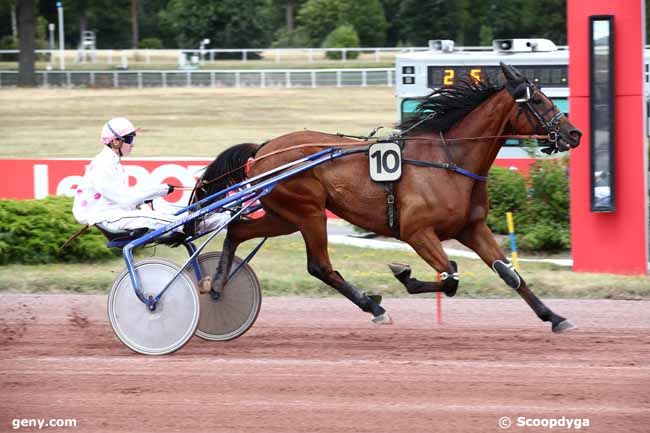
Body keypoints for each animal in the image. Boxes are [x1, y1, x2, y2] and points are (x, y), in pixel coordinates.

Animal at [195, 64, 580, 332]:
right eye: (540, 101)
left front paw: (554, 317)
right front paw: (403, 273)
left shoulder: (472, 228)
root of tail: (263, 149)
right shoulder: (417, 232)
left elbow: (510, 275)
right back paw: (374, 307)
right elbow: (450, 275)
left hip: (285, 216)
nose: (574, 133)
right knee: (319, 266)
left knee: (237, 231)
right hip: (308, 212)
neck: (449, 160)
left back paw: (217, 286)